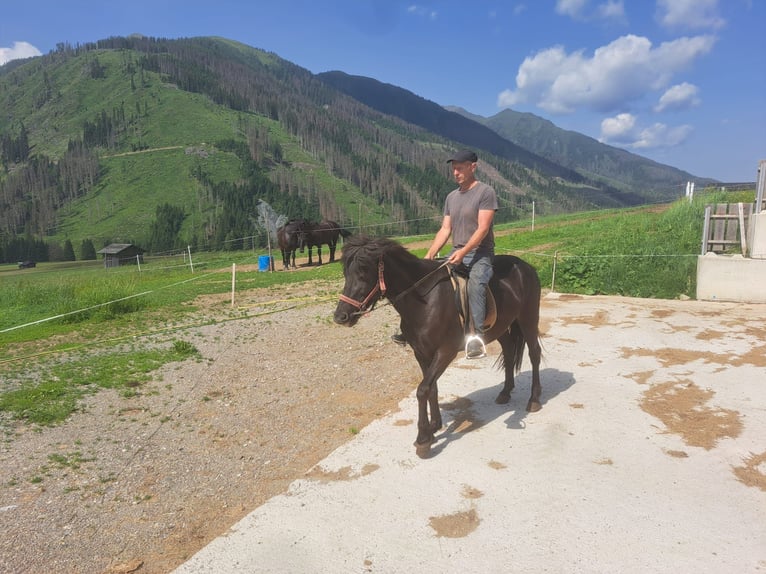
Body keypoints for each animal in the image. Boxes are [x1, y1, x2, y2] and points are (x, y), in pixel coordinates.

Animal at [332, 236, 544, 456]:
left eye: (364, 271)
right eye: (345, 272)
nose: (341, 317)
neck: (425, 301)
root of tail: (526, 266)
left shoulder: (445, 352)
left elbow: (422, 390)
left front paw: (423, 439)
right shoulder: (421, 353)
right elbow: (431, 387)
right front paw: (435, 426)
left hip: (528, 319)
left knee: (534, 354)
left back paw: (534, 400)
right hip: (501, 328)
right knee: (509, 352)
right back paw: (505, 393)